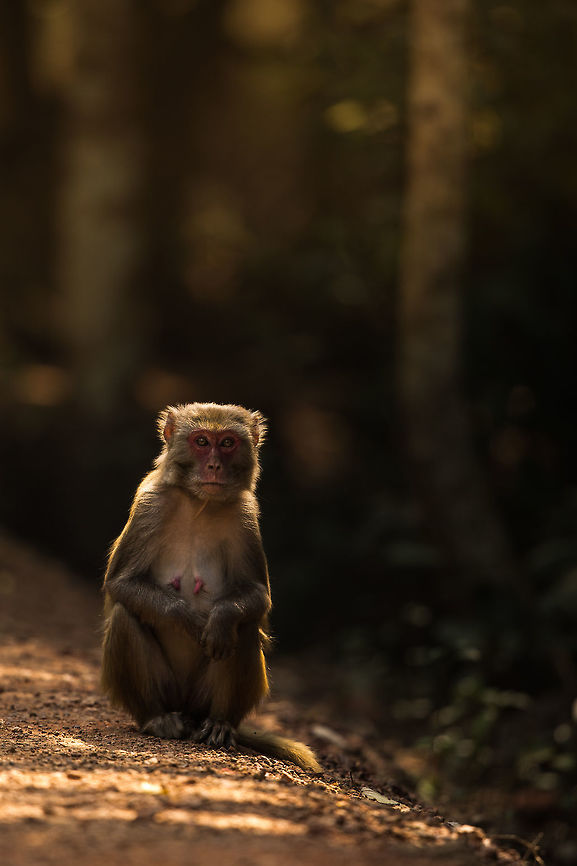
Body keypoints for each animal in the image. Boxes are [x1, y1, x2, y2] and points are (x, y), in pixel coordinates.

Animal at [101, 402, 321, 774]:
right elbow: (121, 584)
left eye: (228, 443)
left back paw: (219, 723)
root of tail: (189, 711)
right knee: (123, 617)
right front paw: (188, 620)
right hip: (170, 691)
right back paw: (156, 718)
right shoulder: (150, 505)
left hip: (201, 699)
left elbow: (257, 597)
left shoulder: (245, 516)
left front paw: (218, 620)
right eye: (202, 441)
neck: (198, 503)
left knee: (242, 629)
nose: (215, 465)